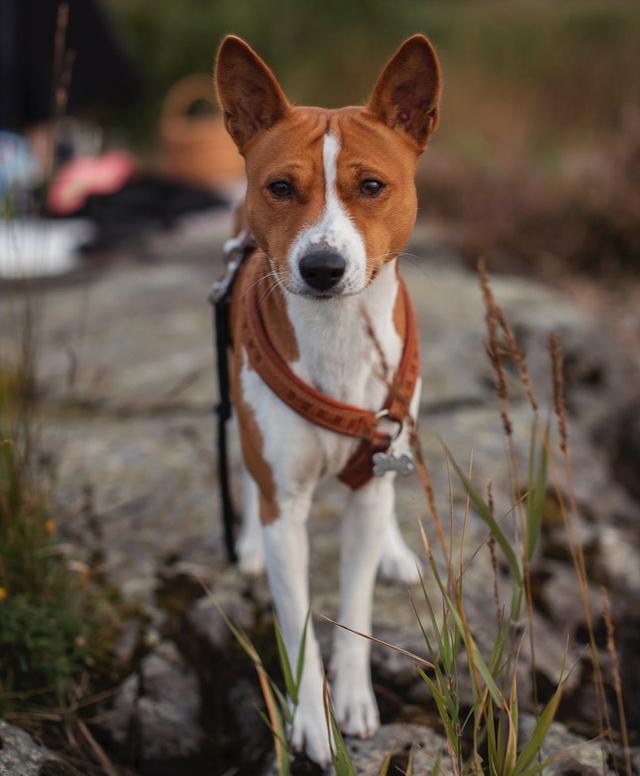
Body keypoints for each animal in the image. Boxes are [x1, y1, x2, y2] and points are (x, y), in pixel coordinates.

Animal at [215, 34, 440, 764]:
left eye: (371, 186)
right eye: (282, 188)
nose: (321, 267)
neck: (337, 336)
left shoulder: (372, 476)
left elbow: (356, 605)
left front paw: (355, 697)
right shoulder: (285, 505)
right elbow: (297, 628)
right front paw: (311, 719)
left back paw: (394, 549)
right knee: (243, 469)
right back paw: (248, 545)